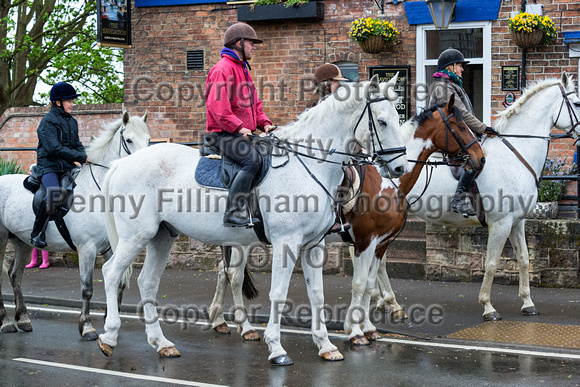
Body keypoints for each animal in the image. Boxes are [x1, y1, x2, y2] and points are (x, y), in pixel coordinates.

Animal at [0, 109, 150, 340]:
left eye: (149, 140)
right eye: (129, 140)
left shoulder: (110, 248)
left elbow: (117, 282)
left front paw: (110, 324)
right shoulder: (86, 249)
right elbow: (87, 289)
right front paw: (87, 327)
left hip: (22, 242)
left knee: (16, 275)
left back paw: (23, 319)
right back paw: (6, 322)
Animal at [96, 74, 408, 366]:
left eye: (398, 117)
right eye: (382, 122)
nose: (400, 168)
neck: (308, 164)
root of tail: (122, 163)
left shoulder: (314, 245)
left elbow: (317, 294)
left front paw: (326, 345)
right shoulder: (288, 242)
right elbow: (279, 293)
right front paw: (277, 348)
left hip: (162, 236)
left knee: (148, 282)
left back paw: (161, 343)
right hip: (136, 236)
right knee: (111, 273)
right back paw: (109, 336)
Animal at [374, 72, 580, 322]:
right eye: (577, 103)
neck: (515, 154)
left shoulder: (517, 222)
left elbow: (524, 259)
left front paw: (527, 303)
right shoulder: (500, 224)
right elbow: (491, 263)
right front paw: (488, 306)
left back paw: (380, 301)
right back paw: (390, 303)